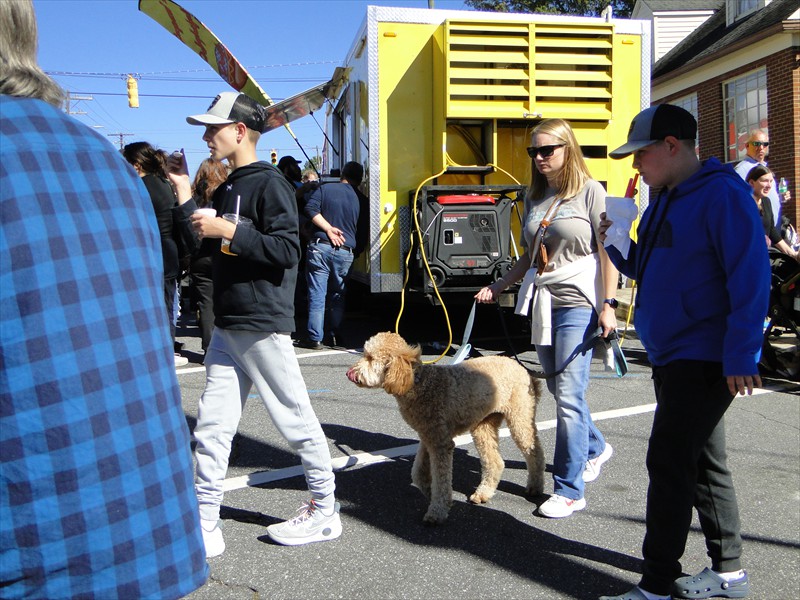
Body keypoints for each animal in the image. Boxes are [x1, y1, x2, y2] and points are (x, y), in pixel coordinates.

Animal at [346, 332, 548, 524]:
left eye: (370, 358)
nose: (349, 373)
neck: (417, 383)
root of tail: (524, 370)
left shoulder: (440, 443)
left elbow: (441, 480)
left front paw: (438, 510)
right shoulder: (428, 437)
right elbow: (418, 474)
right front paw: (430, 492)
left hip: (520, 417)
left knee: (535, 452)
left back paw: (535, 487)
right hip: (484, 424)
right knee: (495, 461)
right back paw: (483, 493)